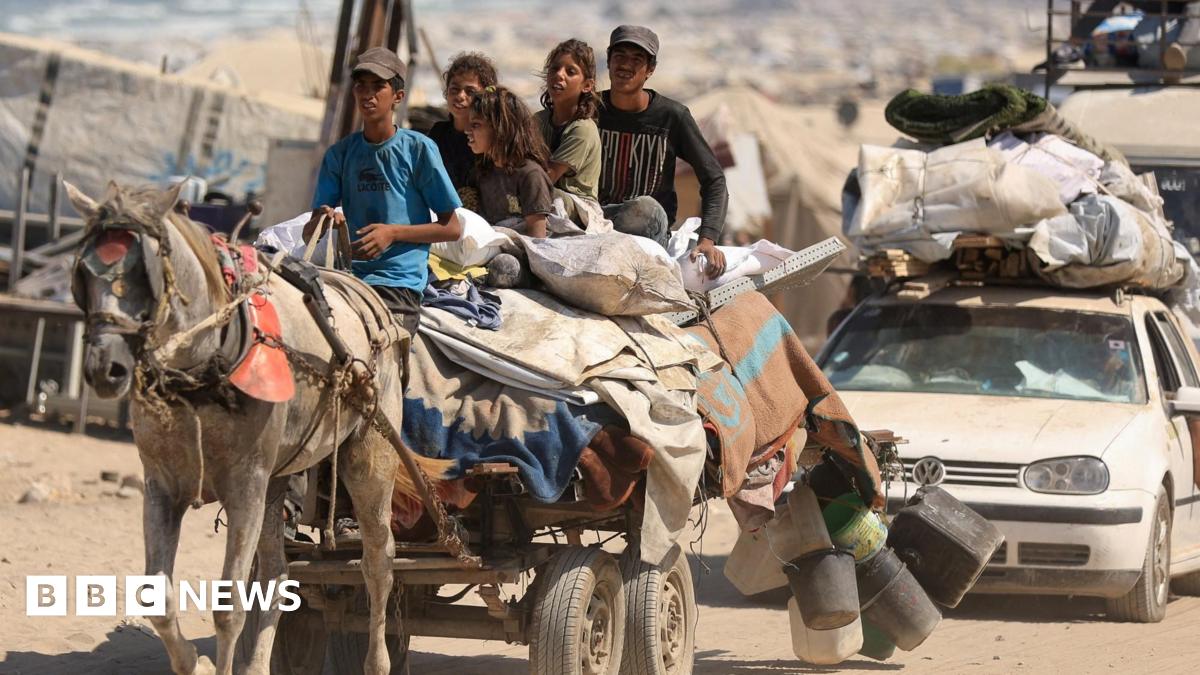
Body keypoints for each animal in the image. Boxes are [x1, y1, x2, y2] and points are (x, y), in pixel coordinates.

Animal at [65, 180, 452, 675]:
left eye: (142, 273)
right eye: (83, 272)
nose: (105, 368)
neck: (205, 366)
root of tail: (362, 290)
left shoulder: (245, 484)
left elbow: (230, 607)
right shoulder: (163, 485)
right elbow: (158, 598)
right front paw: (193, 662)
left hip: (369, 458)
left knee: (379, 562)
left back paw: (377, 660)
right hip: (280, 476)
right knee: (276, 573)